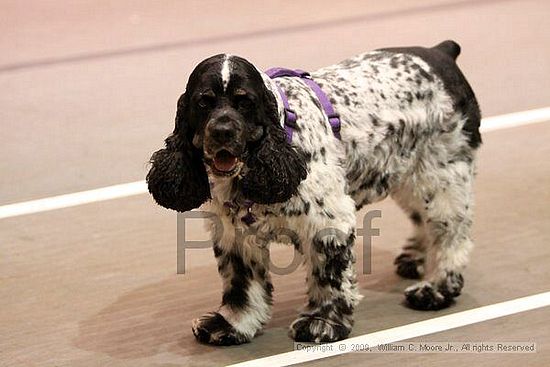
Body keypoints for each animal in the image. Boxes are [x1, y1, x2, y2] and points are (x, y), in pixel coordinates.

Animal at [148, 41, 484, 346]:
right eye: (203, 102)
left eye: (245, 102)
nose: (222, 132)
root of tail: (441, 52)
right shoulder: (235, 234)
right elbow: (241, 285)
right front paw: (231, 324)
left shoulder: (327, 225)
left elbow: (328, 278)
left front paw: (321, 323)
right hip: (409, 176)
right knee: (421, 219)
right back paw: (413, 260)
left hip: (443, 176)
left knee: (451, 237)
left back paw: (436, 289)